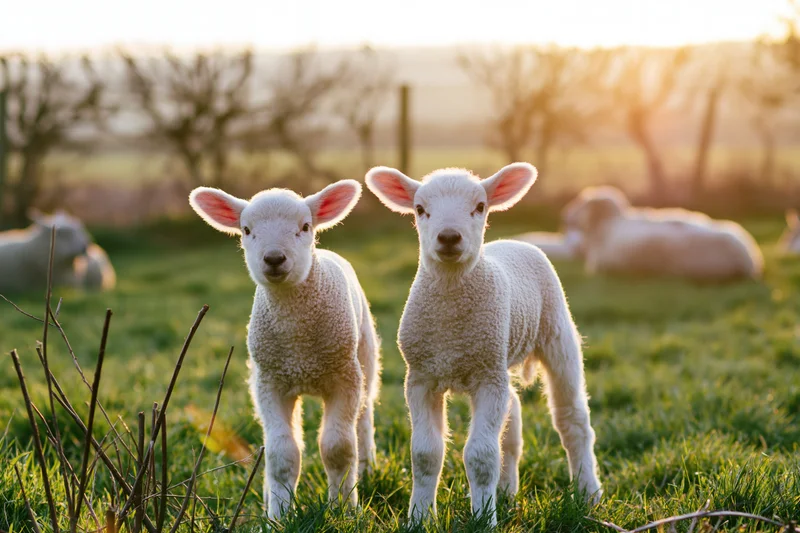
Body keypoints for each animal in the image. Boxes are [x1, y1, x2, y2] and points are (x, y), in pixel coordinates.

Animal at [188, 180, 381, 519]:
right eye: (247, 230)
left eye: (304, 227)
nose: (274, 258)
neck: (298, 342)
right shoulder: (271, 383)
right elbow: (282, 453)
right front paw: (278, 514)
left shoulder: (344, 378)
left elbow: (338, 448)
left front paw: (344, 508)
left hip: (364, 358)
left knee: (365, 416)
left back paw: (367, 469)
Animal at [365, 163, 602, 526]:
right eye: (420, 209)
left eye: (479, 206)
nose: (449, 237)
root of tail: (514, 242)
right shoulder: (420, 377)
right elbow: (425, 454)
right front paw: (420, 518)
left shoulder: (486, 378)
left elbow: (481, 456)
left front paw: (483, 520)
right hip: (498, 358)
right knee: (513, 415)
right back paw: (506, 492)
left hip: (556, 334)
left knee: (572, 420)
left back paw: (588, 494)